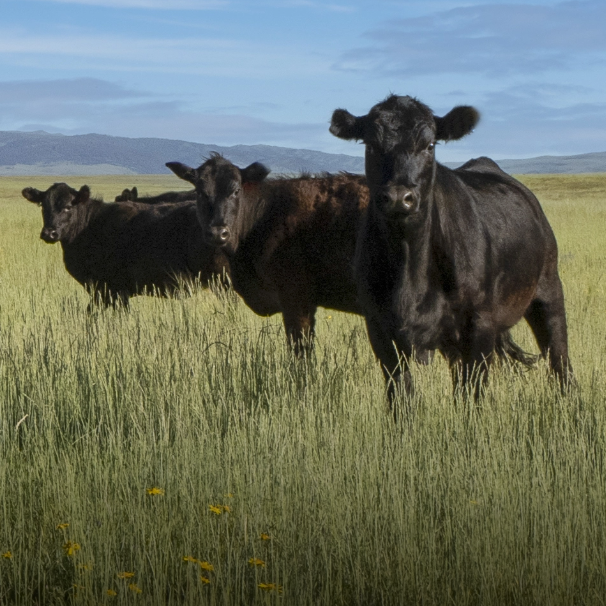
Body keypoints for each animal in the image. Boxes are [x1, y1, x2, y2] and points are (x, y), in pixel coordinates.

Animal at [330, 94, 571, 405]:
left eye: (429, 145)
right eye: (371, 145)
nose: (398, 197)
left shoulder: (479, 325)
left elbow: (473, 395)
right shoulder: (379, 327)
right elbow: (401, 395)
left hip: (548, 290)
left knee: (560, 361)